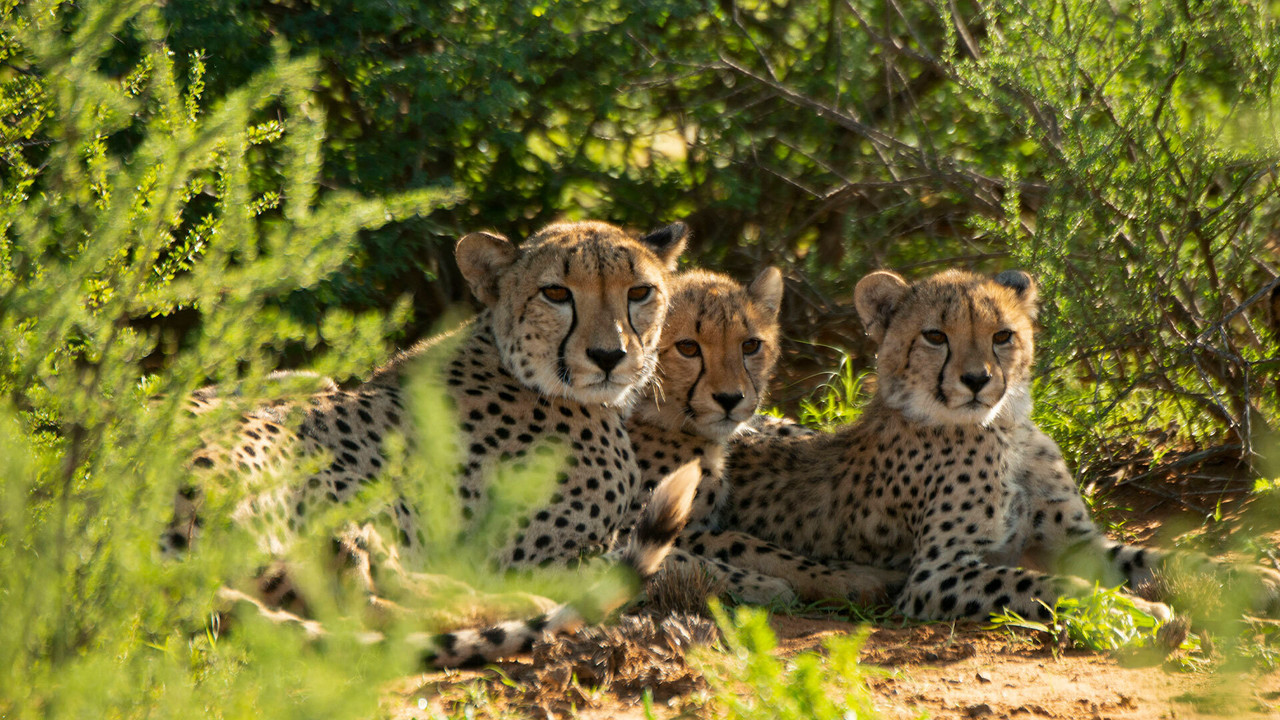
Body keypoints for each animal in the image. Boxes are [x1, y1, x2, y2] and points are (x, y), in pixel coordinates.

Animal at [165, 220, 705, 666]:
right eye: (555, 293)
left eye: (640, 292)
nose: (609, 355)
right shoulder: (534, 556)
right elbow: (686, 560)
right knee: (362, 607)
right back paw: (521, 605)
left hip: (306, 386)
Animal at [723, 268, 1280, 624]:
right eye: (935, 336)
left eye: (1002, 335)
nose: (976, 380)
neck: (1003, 429)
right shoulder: (934, 575)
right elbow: (1044, 584)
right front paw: (1133, 610)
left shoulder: (1075, 541)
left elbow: (1168, 557)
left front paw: (1255, 577)